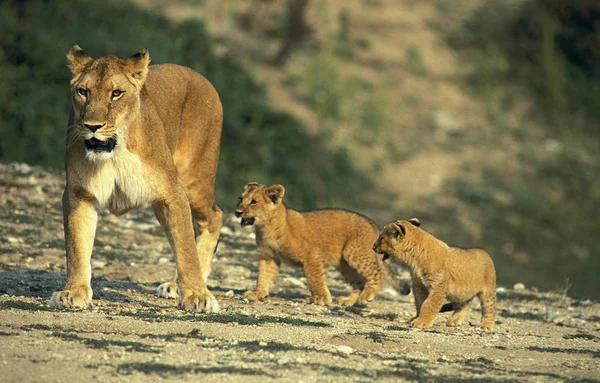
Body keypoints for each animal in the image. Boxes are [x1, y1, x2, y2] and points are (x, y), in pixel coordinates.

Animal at [50, 46, 224, 314]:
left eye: (116, 94)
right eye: (83, 91)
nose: (92, 126)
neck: (115, 152)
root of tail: (199, 77)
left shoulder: (173, 192)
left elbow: (186, 247)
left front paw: (197, 295)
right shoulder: (79, 194)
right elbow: (77, 247)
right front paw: (74, 292)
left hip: (194, 179)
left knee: (214, 217)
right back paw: (175, 285)